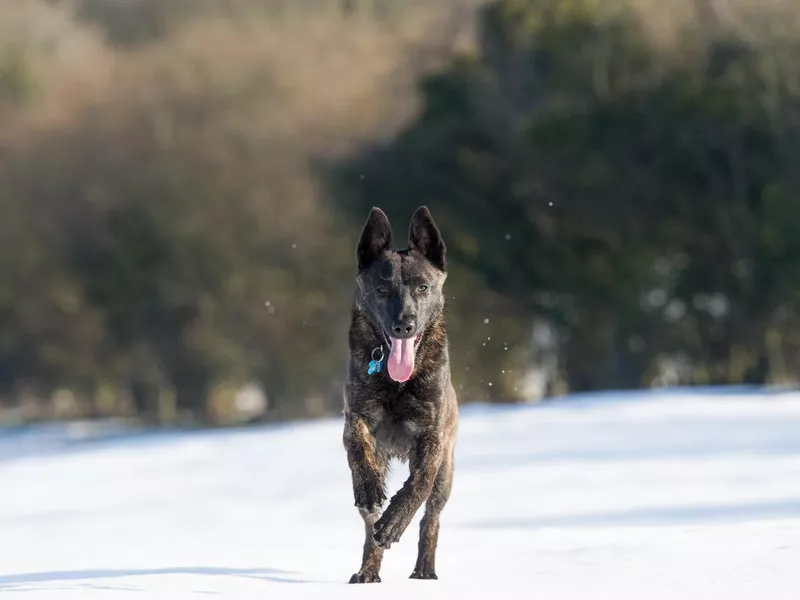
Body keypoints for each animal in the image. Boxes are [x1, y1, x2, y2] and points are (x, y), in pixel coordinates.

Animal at [340, 209, 460, 584]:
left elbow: (418, 484)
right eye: (381, 289)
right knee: (368, 527)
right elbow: (359, 453)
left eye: (423, 287)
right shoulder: (356, 419)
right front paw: (368, 489)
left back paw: (424, 570)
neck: (398, 382)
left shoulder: (432, 436)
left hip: (446, 474)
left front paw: (394, 522)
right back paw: (367, 571)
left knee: (430, 518)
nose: (403, 325)